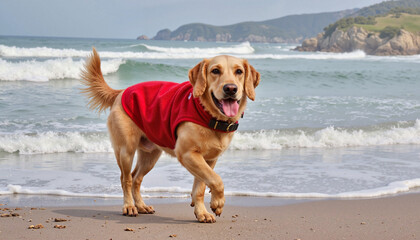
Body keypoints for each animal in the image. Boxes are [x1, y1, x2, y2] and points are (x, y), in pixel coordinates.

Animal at [79, 48, 260, 223]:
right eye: (215, 71)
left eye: (239, 71)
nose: (230, 88)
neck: (208, 115)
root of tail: (122, 91)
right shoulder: (187, 154)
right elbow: (217, 180)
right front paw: (218, 202)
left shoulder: (209, 159)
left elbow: (201, 187)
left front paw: (202, 212)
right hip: (125, 151)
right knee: (126, 179)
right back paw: (129, 206)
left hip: (150, 155)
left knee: (136, 178)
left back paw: (141, 205)